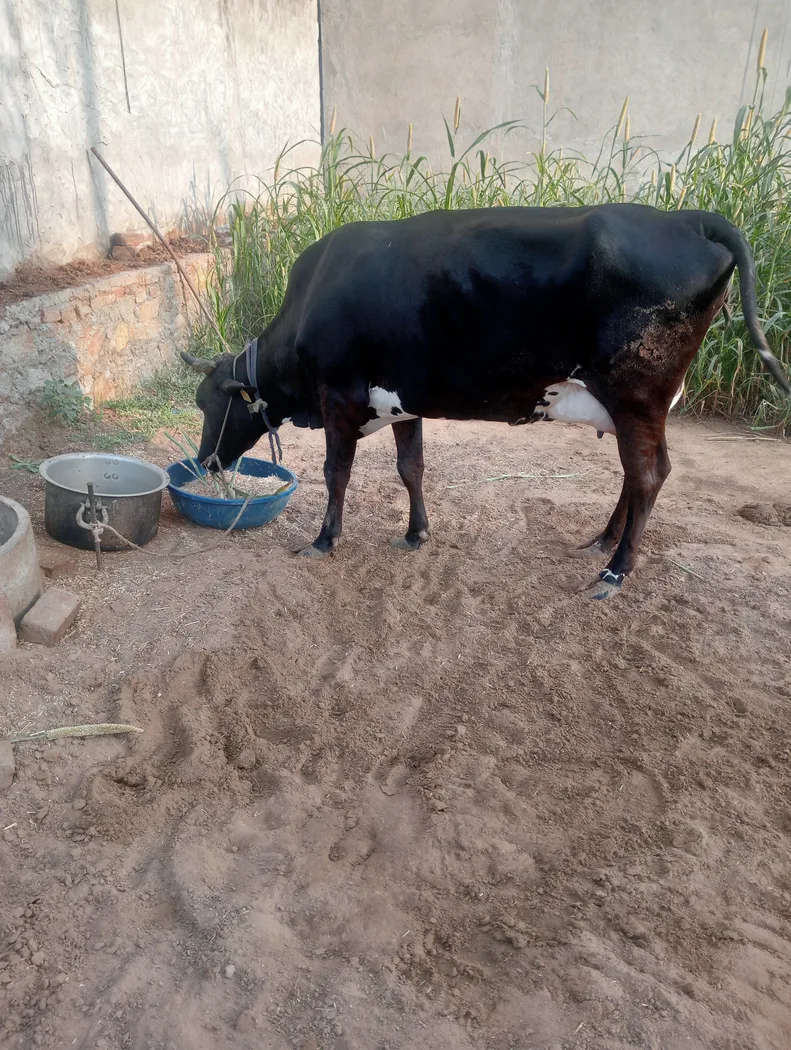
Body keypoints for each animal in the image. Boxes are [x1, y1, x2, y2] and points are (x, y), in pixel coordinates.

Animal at [181, 202, 790, 599]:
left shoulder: (340, 398)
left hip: (637, 395)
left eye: (210, 406)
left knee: (649, 474)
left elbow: (336, 474)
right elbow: (411, 467)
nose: (206, 461)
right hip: (632, 406)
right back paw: (600, 543)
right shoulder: (402, 400)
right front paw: (416, 533)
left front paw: (325, 540)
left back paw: (615, 573)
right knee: (635, 475)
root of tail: (684, 217)